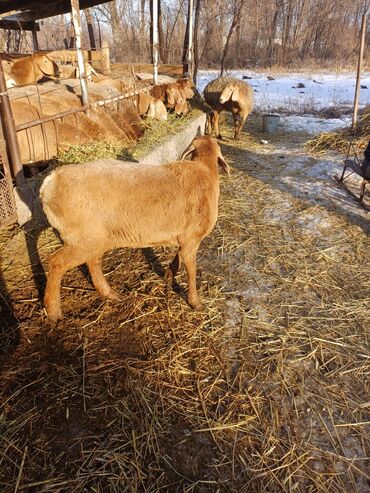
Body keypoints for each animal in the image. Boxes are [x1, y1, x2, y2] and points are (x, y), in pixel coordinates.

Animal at [39, 135, 228, 322]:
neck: (205, 171)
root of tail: (51, 182)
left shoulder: (186, 238)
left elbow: (178, 256)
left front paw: (168, 275)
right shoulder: (192, 238)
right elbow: (191, 270)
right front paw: (195, 302)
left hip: (95, 236)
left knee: (93, 261)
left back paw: (109, 294)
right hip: (83, 238)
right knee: (56, 263)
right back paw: (53, 312)